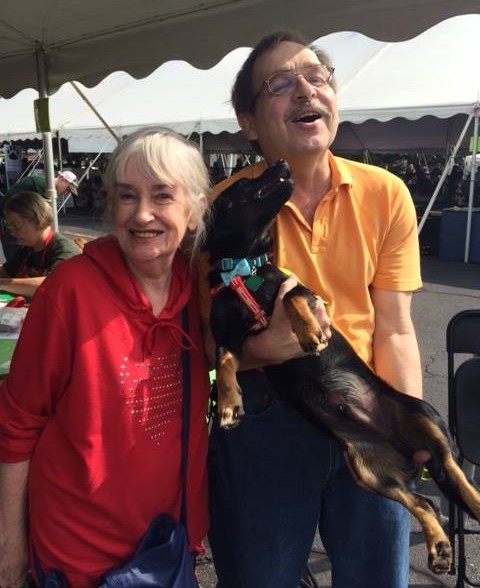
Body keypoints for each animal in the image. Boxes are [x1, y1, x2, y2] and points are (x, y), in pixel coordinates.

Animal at [204, 160, 480, 576]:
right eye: (244, 184)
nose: (282, 163)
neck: (242, 270)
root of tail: (402, 445)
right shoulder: (231, 339)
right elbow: (223, 361)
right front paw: (229, 404)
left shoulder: (303, 293)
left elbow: (293, 298)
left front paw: (308, 332)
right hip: (370, 471)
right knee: (426, 502)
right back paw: (439, 546)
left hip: (426, 421)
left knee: (456, 475)